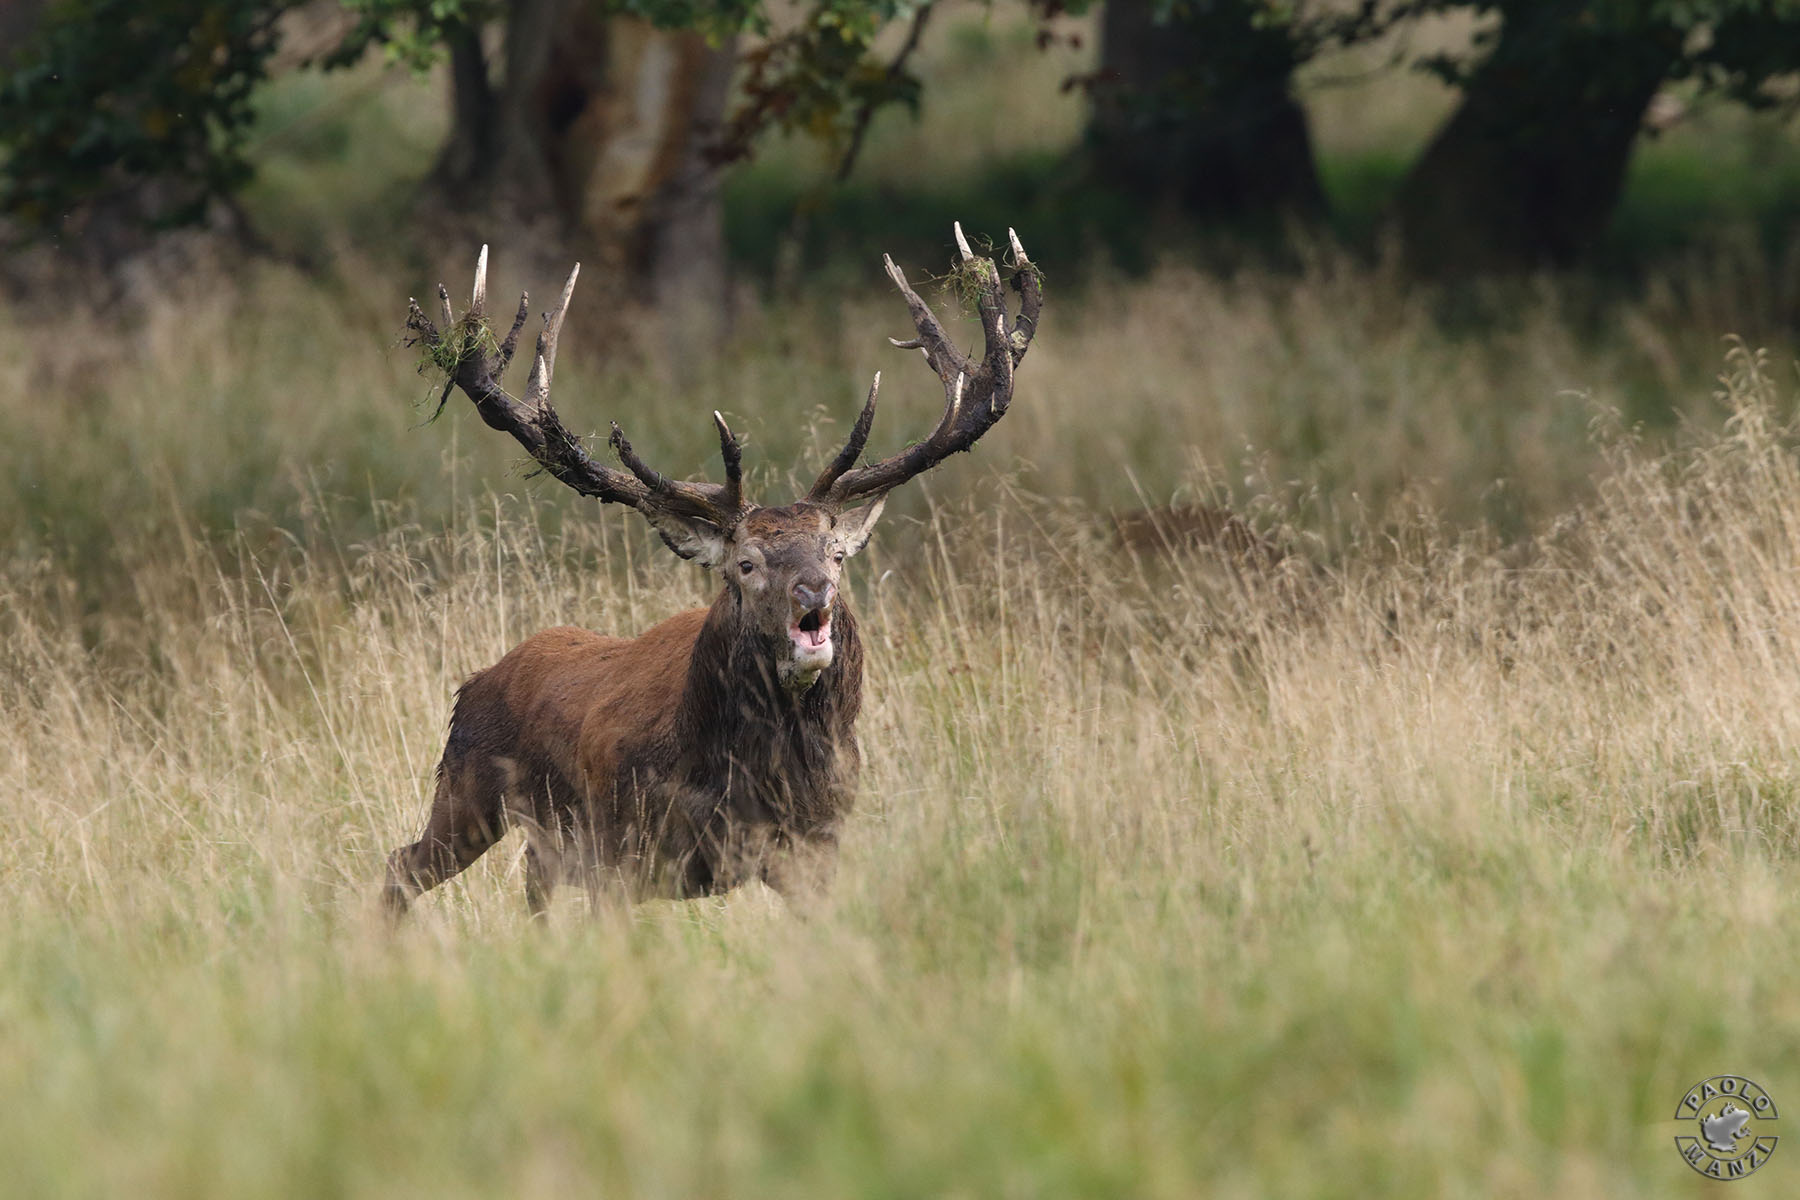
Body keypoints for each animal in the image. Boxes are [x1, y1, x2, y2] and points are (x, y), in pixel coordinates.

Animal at [382, 224, 1042, 917]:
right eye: (745, 564)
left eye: (836, 553)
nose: (814, 592)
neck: (747, 773)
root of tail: (472, 684)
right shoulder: (620, 845)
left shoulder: (816, 844)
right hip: (469, 788)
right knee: (401, 865)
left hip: (542, 836)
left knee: (525, 885)